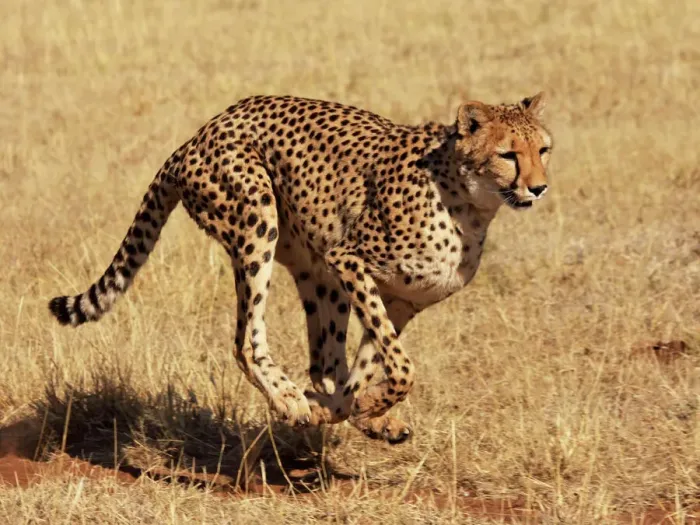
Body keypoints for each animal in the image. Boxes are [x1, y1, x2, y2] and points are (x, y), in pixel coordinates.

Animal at [48, 92, 553, 444]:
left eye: (543, 150)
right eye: (508, 154)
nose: (539, 187)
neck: (469, 204)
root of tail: (199, 133)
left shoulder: (399, 299)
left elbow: (366, 368)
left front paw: (361, 412)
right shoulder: (350, 259)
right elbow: (402, 367)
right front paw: (360, 408)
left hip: (316, 271)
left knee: (324, 363)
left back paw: (335, 410)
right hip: (257, 219)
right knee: (246, 340)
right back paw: (288, 399)